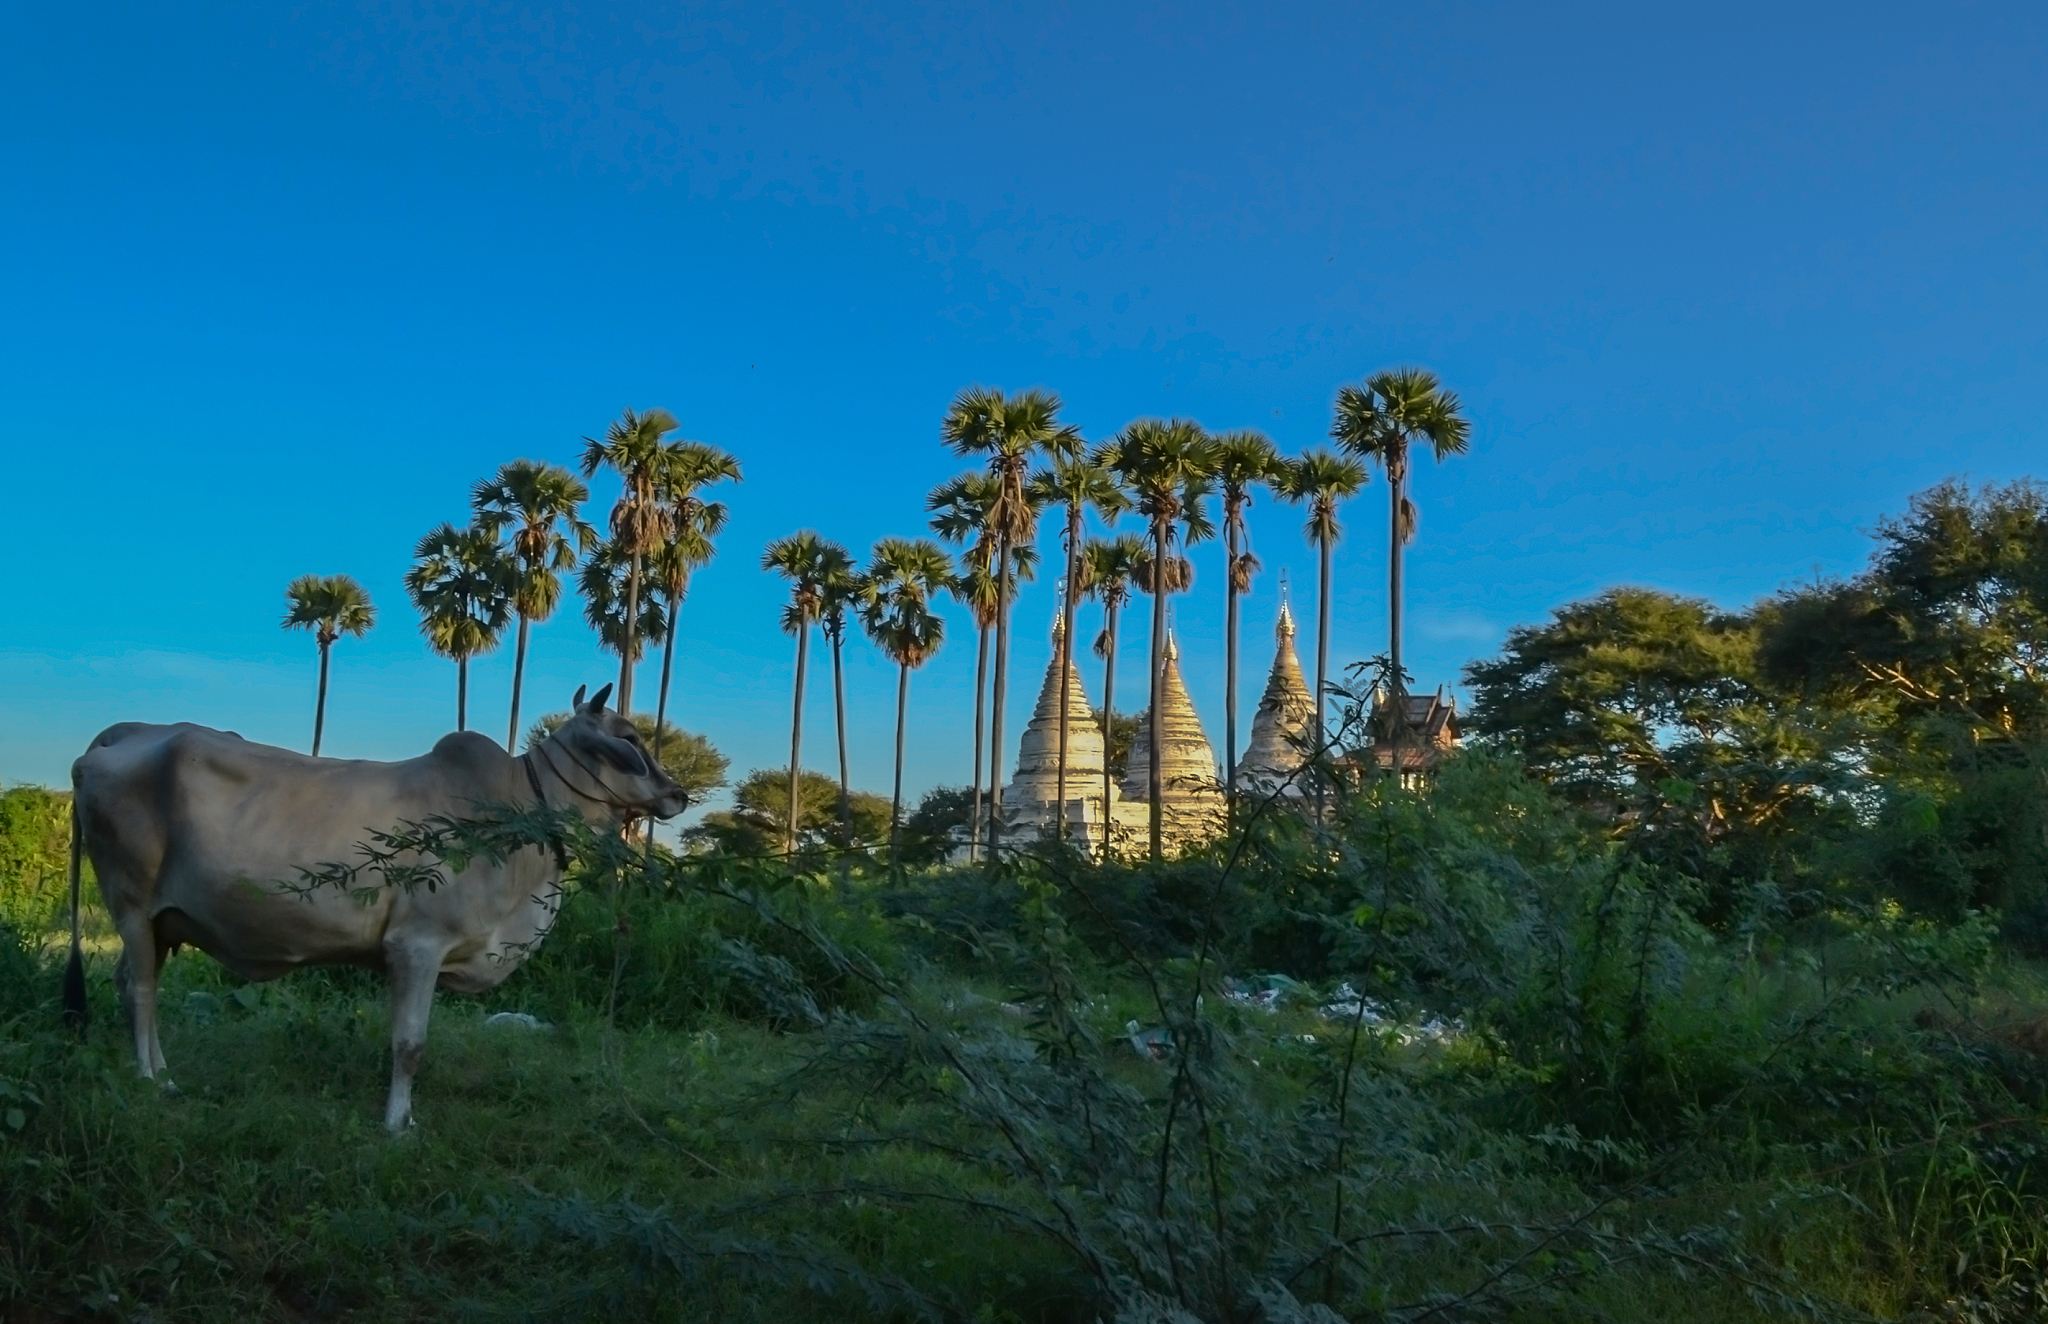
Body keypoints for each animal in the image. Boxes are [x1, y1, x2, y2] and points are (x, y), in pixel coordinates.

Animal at [62, 683, 684, 1131]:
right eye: (629, 736)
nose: (679, 793)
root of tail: (118, 735)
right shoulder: (417, 945)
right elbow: (409, 1046)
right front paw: (397, 1124)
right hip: (131, 904)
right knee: (139, 989)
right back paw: (150, 1080)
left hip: (164, 923)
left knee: (134, 984)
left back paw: (165, 1071)